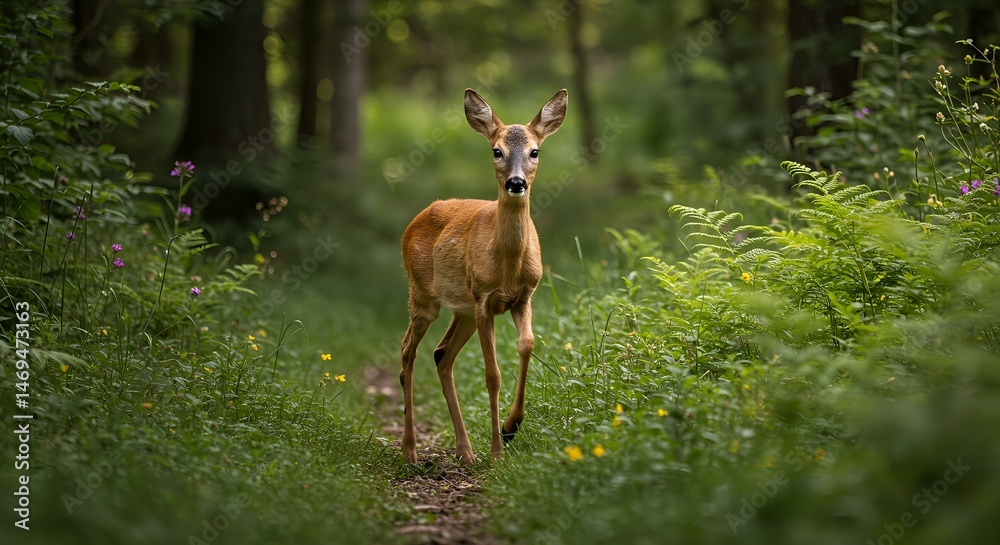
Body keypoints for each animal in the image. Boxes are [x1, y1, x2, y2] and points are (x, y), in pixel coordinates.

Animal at [399, 88, 568, 465]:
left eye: (535, 151)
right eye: (496, 151)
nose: (516, 182)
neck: (506, 267)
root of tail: (414, 219)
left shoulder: (523, 296)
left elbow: (527, 344)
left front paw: (510, 427)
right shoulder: (484, 300)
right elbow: (492, 375)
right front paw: (497, 452)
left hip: (461, 310)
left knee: (441, 354)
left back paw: (465, 451)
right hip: (423, 295)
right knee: (407, 353)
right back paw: (410, 449)